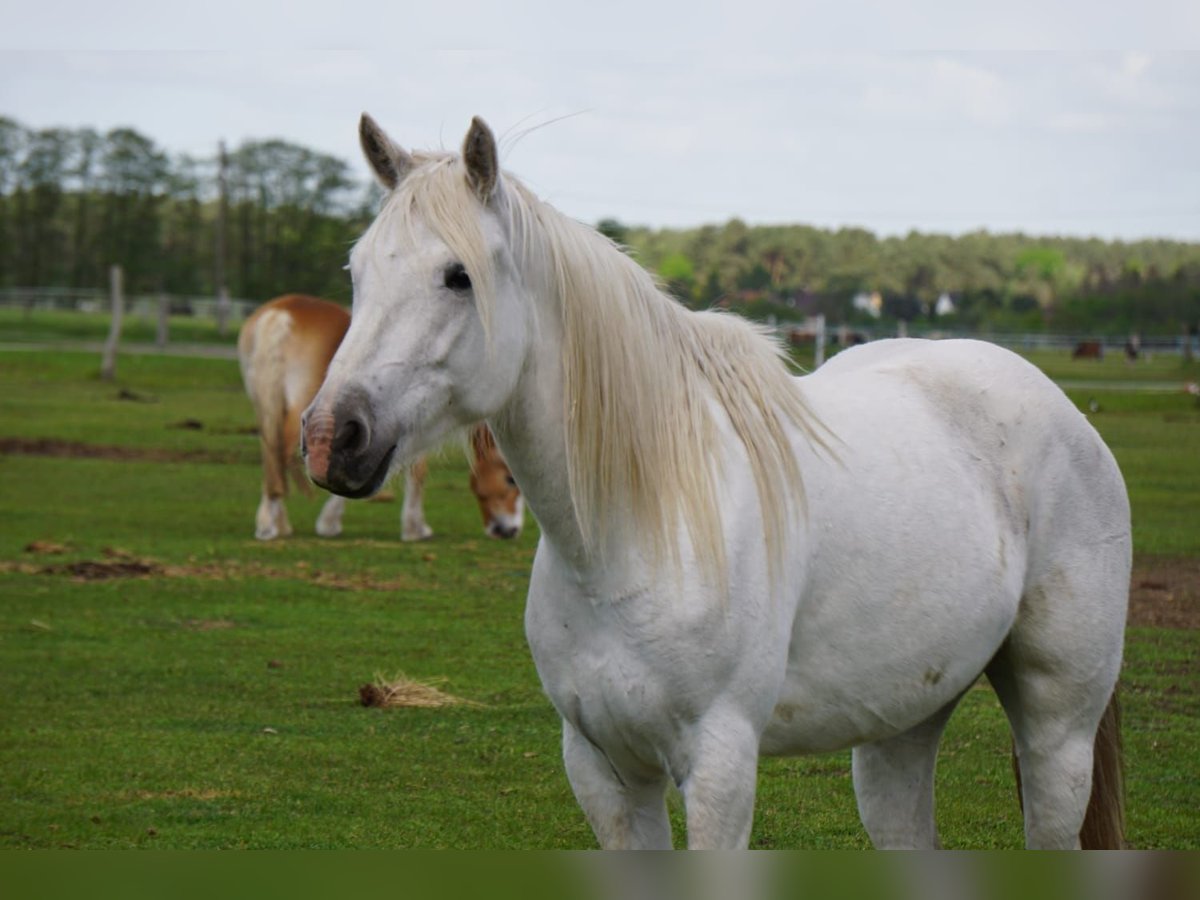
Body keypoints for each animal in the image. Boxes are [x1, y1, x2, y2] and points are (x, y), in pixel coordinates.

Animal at [236, 292, 523, 540]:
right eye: (510, 479)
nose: (506, 530)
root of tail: (279, 315)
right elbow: (416, 472)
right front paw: (415, 528)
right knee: (279, 455)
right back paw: (268, 525)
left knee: (271, 455)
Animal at [304, 114, 1128, 854]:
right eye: (357, 272)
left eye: (457, 275)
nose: (329, 438)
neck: (638, 528)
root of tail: (1061, 409)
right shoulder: (603, 770)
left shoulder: (720, 765)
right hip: (903, 724)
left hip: (1058, 728)